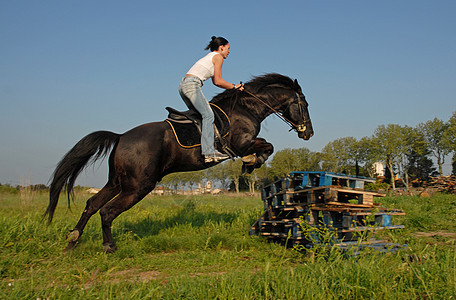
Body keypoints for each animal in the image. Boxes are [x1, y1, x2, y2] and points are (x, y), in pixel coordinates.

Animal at [45, 73, 314, 253]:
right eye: (305, 105)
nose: (308, 133)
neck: (246, 108)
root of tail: (120, 137)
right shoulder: (242, 143)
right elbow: (267, 146)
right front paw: (250, 163)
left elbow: (268, 147)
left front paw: (250, 165)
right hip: (139, 186)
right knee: (107, 211)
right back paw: (109, 246)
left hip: (118, 182)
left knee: (92, 205)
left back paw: (73, 240)